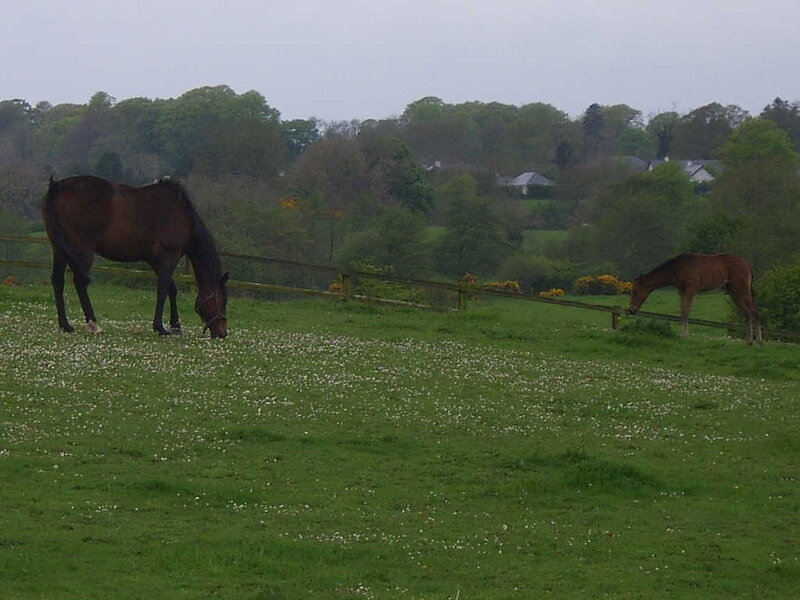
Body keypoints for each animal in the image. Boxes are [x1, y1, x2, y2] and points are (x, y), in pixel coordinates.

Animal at [42, 175, 228, 338]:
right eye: (223, 301)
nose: (222, 333)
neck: (182, 214)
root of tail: (57, 187)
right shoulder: (170, 256)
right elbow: (163, 289)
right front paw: (160, 327)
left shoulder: (155, 261)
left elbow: (171, 289)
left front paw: (175, 325)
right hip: (83, 251)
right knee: (79, 283)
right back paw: (94, 325)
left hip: (59, 250)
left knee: (57, 281)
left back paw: (65, 325)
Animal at [628, 253, 762, 344]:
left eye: (635, 291)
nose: (631, 309)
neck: (676, 269)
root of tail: (747, 265)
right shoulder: (681, 290)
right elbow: (682, 310)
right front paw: (682, 334)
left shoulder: (691, 288)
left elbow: (686, 310)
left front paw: (684, 336)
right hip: (733, 291)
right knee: (746, 312)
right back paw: (749, 340)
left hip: (742, 288)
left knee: (754, 311)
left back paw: (759, 340)